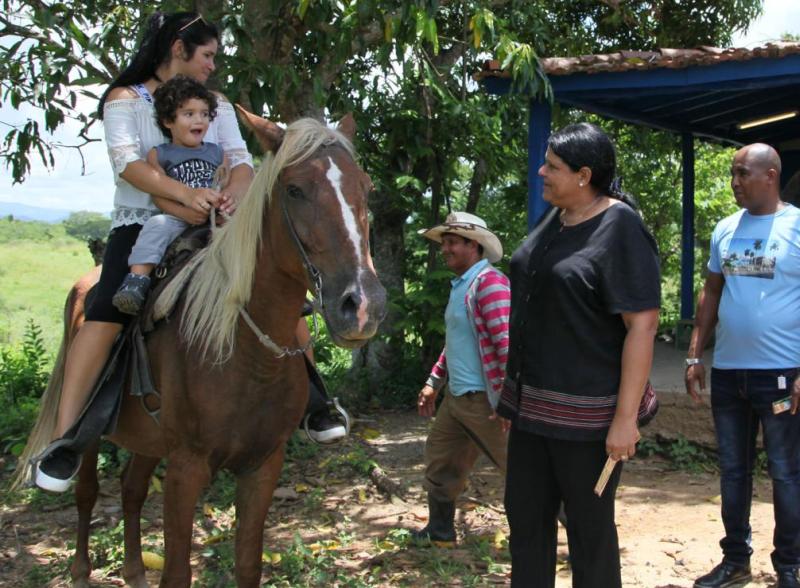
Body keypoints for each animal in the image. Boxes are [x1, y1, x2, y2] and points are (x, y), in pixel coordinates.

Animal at [13, 111, 388, 588]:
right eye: (294, 189)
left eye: (366, 187)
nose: (362, 306)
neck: (245, 352)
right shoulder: (186, 468)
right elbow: (177, 572)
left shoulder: (263, 465)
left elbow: (247, 565)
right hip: (94, 432)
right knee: (87, 491)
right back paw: (81, 569)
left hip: (147, 438)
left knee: (131, 488)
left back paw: (134, 570)